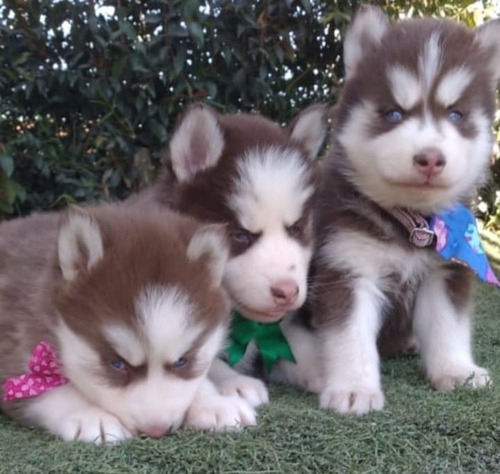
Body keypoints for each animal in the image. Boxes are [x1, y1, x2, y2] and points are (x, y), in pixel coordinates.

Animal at [0, 206, 256, 442]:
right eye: (117, 364)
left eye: (182, 361)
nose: (157, 431)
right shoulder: (15, 341)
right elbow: (52, 390)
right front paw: (92, 416)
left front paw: (215, 404)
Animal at [308, 7, 500, 414]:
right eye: (394, 114)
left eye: (456, 115)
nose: (430, 158)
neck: (412, 222)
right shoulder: (347, 266)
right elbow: (349, 336)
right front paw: (354, 387)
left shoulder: (445, 271)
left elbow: (447, 326)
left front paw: (456, 371)